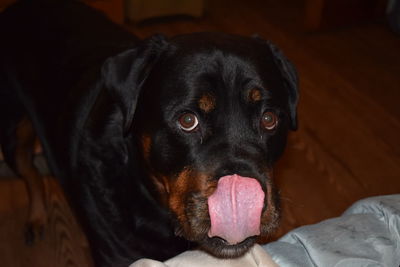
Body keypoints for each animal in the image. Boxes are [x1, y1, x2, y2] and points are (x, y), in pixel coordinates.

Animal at [0, 0, 298, 267]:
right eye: (187, 120)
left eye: (269, 119)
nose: (243, 194)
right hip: (13, 130)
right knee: (29, 172)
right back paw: (36, 216)